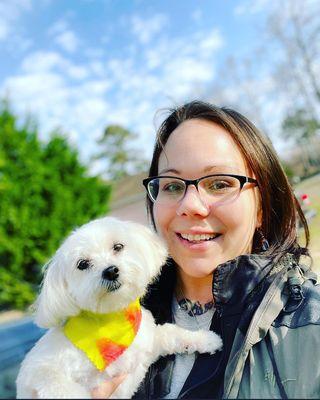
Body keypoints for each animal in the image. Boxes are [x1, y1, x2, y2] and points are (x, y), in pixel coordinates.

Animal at [15, 217, 222, 398]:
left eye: (118, 247)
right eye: (82, 264)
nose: (110, 271)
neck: (112, 320)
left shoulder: (145, 345)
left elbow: (170, 333)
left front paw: (205, 339)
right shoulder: (38, 370)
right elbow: (58, 385)